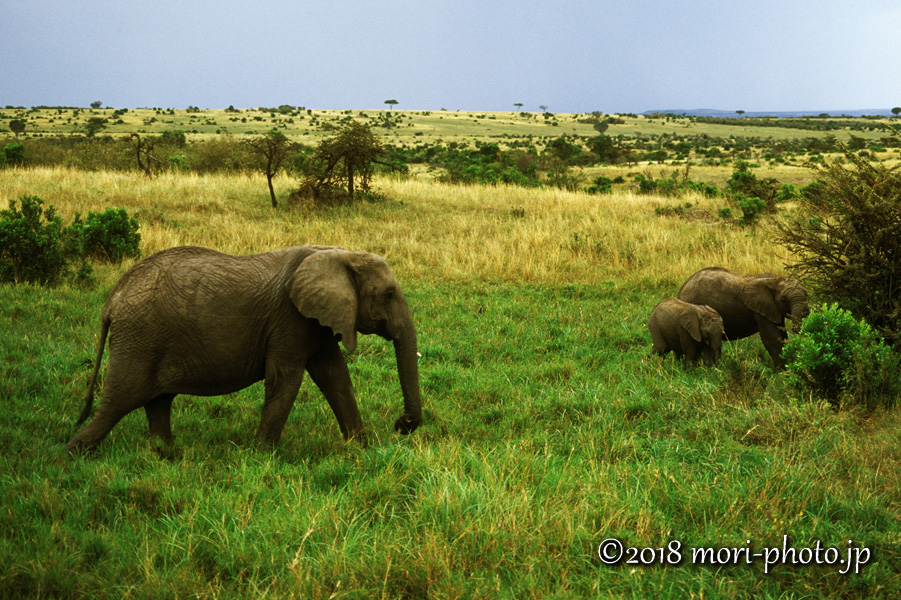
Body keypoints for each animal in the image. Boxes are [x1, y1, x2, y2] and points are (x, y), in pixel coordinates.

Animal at [64, 245, 422, 452]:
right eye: (389, 294)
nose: (401, 424)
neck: (339, 253)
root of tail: (113, 297)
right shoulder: (289, 317)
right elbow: (285, 379)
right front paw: (264, 456)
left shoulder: (315, 320)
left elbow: (335, 377)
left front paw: (361, 449)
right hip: (139, 338)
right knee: (120, 400)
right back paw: (71, 456)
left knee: (157, 401)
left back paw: (166, 456)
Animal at [676, 266, 810, 369]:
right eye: (784, 300)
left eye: (807, 295)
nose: (797, 329)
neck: (774, 280)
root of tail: (681, 290)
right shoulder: (759, 310)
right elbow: (772, 338)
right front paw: (783, 373)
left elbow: (782, 336)